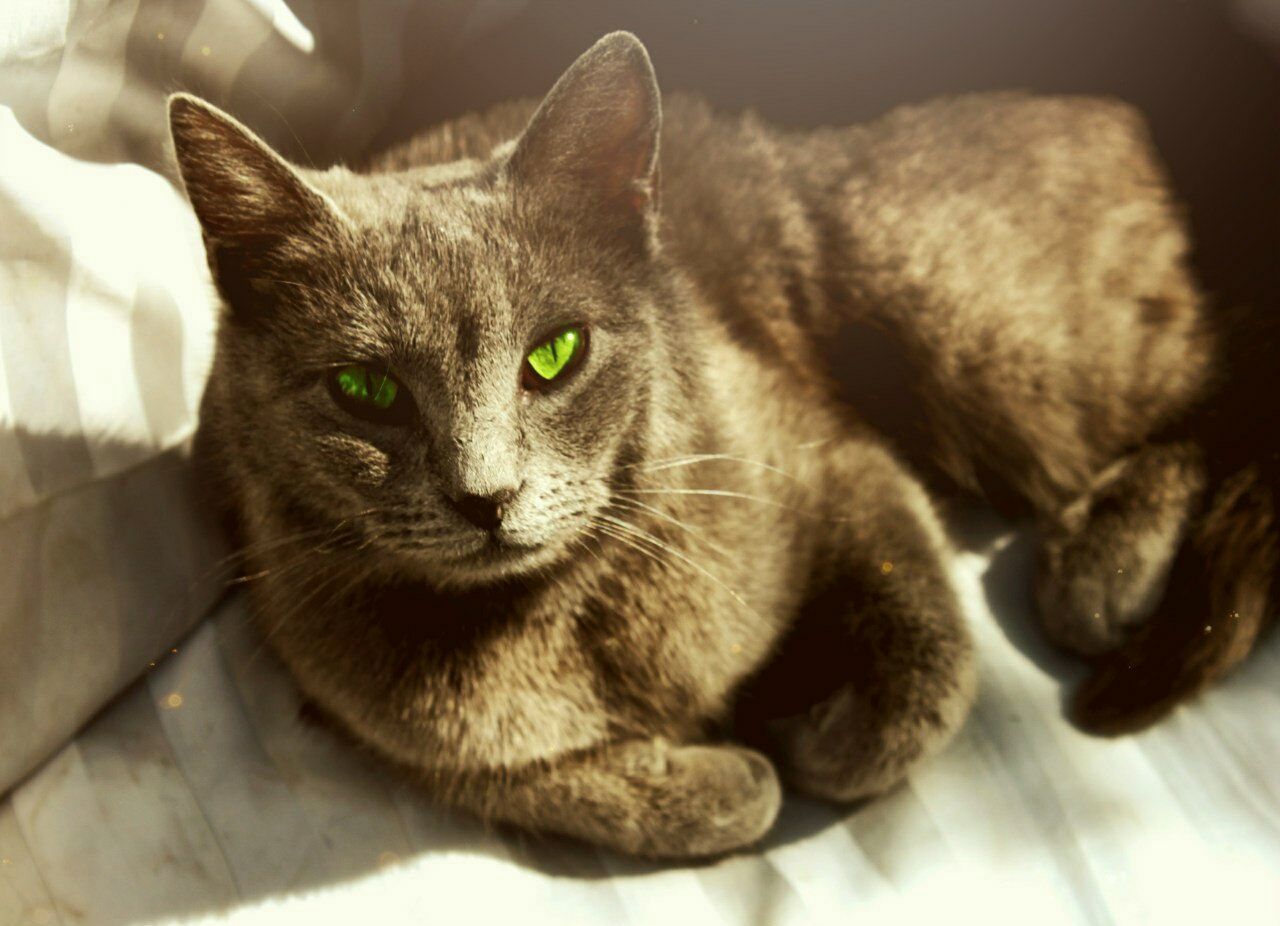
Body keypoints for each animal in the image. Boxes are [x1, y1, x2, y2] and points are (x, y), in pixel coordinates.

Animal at [167, 32, 1269, 860]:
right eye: (364, 390)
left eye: (555, 353)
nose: (487, 494)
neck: (558, 619)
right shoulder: (363, 703)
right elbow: (599, 788)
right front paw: (731, 758)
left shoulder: (827, 456)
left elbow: (927, 669)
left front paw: (807, 725)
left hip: (971, 315)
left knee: (1227, 383)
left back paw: (1104, 563)